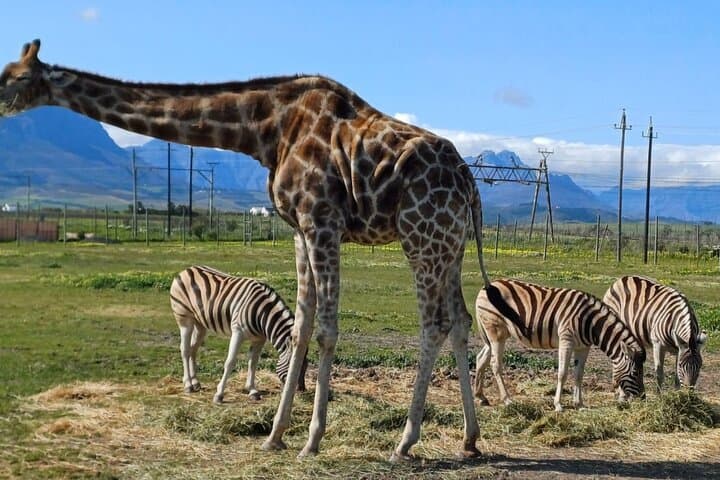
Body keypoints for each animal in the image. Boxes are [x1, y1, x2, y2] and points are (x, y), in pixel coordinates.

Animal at [0, 39, 492, 460]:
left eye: (16, 76)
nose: (0, 102)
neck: (264, 129)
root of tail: (469, 181)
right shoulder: (298, 230)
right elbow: (301, 327)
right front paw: (275, 435)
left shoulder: (321, 221)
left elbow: (327, 330)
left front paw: (311, 440)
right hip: (451, 246)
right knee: (460, 321)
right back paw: (470, 439)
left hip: (419, 237)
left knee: (434, 324)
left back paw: (404, 442)